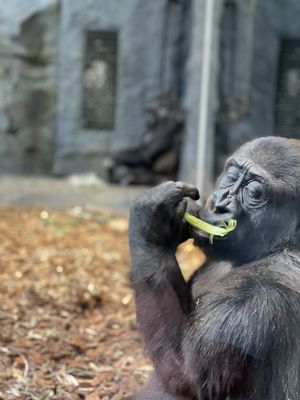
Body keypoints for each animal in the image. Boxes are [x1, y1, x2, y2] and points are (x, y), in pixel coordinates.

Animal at [127, 138, 300, 400]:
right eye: (232, 177)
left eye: (254, 193)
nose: (220, 205)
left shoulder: (262, 292)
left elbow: (190, 377)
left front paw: (154, 225)